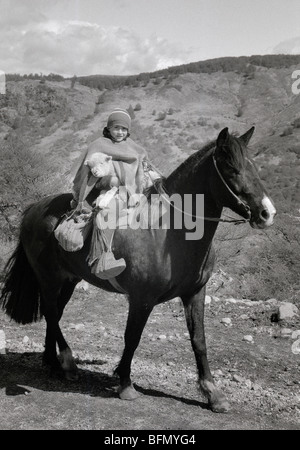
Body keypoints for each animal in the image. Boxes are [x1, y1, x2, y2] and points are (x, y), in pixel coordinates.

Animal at [0, 125, 276, 412]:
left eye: (254, 166)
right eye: (231, 168)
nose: (267, 213)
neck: (169, 232)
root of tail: (34, 208)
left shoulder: (195, 293)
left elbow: (199, 341)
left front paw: (213, 393)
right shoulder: (142, 298)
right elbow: (132, 337)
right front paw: (125, 383)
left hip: (68, 280)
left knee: (54, 313)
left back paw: (52, 362)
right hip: (49, 278)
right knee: (52, 313)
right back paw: (66, 361)